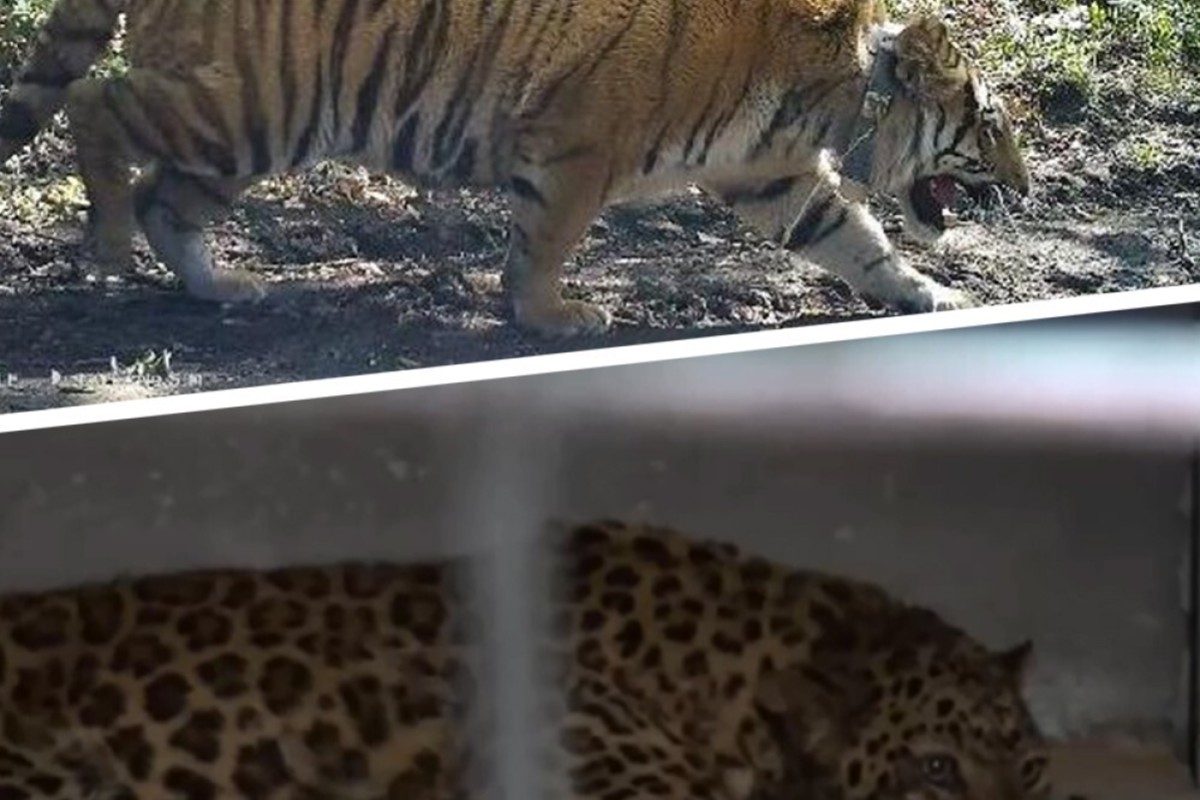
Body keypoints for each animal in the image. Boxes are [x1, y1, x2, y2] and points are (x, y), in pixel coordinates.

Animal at [0, 0, 1030, 337]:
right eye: (990, 126)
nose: (1027, 187)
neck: (839, 94)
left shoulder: (772, 176)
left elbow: (855, 241)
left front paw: (929, 295)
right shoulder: (581, 148)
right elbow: (546, 243)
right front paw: (551, 317)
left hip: (245, 133)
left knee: (167, 196)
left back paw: (220, 286)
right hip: (247, 108)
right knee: (99, 110)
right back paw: (106, 247)